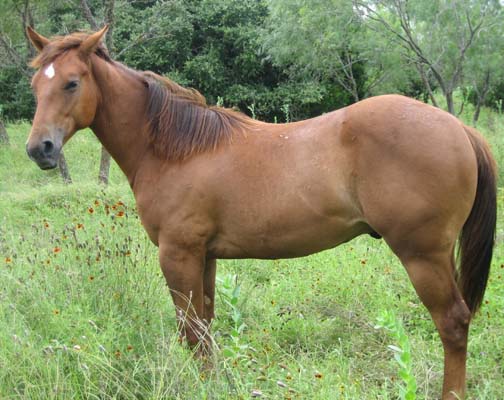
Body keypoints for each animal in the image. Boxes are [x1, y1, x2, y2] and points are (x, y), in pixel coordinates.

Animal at [24, 26, 496, 398]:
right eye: (35, 86)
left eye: (71, 83)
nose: (39, 149)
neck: (175, 150)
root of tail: (459, 128)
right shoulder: (205, 256)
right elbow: (205, 328)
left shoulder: (178, 253)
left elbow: (190, 331)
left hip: (422, 255)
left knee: (452, 323)